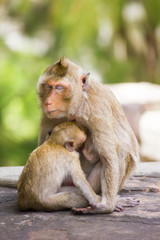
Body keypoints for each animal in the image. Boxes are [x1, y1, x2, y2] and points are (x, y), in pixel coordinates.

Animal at [37, 57, 139, 213]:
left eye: (59, 87)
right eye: (48, 86)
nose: (48, 102)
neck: (78, 105)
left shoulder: (97, 110)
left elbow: (108, 159)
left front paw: (106, 206)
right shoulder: (49, 116)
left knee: (121, 151)